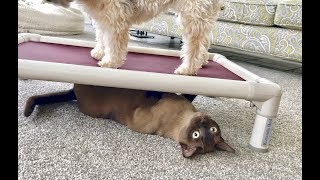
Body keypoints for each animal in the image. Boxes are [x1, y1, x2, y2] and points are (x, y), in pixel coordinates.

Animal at [23, 84, 235, 158]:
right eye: (213, 129)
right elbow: (188, 92)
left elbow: (155, 92)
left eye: (197, 135)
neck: (184, 115)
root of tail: (74, 92)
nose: (203, 122)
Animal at [47, 0, 224, 75]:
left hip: (193, 15)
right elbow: (102, 35)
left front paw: (110, 61)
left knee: (194, 46)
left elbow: (113, 42)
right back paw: (202, 61)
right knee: (204, 42)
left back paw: (188, 68)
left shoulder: (116, 16)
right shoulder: (103, 15)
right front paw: (99, 52)